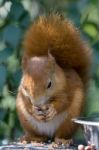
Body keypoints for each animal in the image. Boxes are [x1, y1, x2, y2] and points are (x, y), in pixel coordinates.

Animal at [16, 14, 91, 144]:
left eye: (49, 84)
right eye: (25, 87)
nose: (37, 103)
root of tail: (49, 134)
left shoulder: (67, 87)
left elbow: (64, 101)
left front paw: (52, 109)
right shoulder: (21, 93)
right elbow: (26, 103)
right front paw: (33, 109)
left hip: (69, 122)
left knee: (59, 134)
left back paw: (62, 140)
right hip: (27, 122)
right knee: (40, 135)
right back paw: (31, 138)